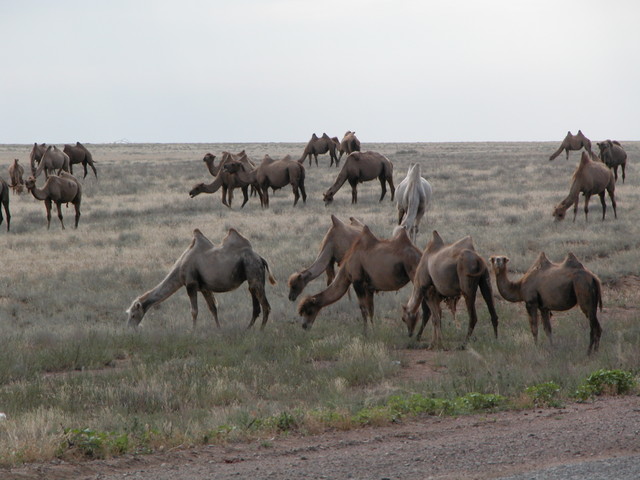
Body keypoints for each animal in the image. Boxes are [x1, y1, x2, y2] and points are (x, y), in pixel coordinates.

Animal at [126, 228, 276, 330]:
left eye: (133, 315)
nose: (130, 328)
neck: (180, 268)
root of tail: (260, 258)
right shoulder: (204, 288)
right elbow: (213, 308)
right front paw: (219, 329)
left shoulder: (190, 284)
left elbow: (194, 311)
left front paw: (193, 331)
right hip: (252, 279)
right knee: (256, 305)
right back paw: (248, 329)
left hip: (254, 272)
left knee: (266, 306)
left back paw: (261, 331)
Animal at [298, 225, 428, 333]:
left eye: (309, 311)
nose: (304, 326)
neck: (346, 268)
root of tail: (420, 254)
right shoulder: (369, 287)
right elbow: (371, 309)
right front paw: (373, 330)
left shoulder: (357, 282)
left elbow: (363, 308)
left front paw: (365, 333)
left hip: (415, 275)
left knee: (426, 305)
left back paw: (418, 335)